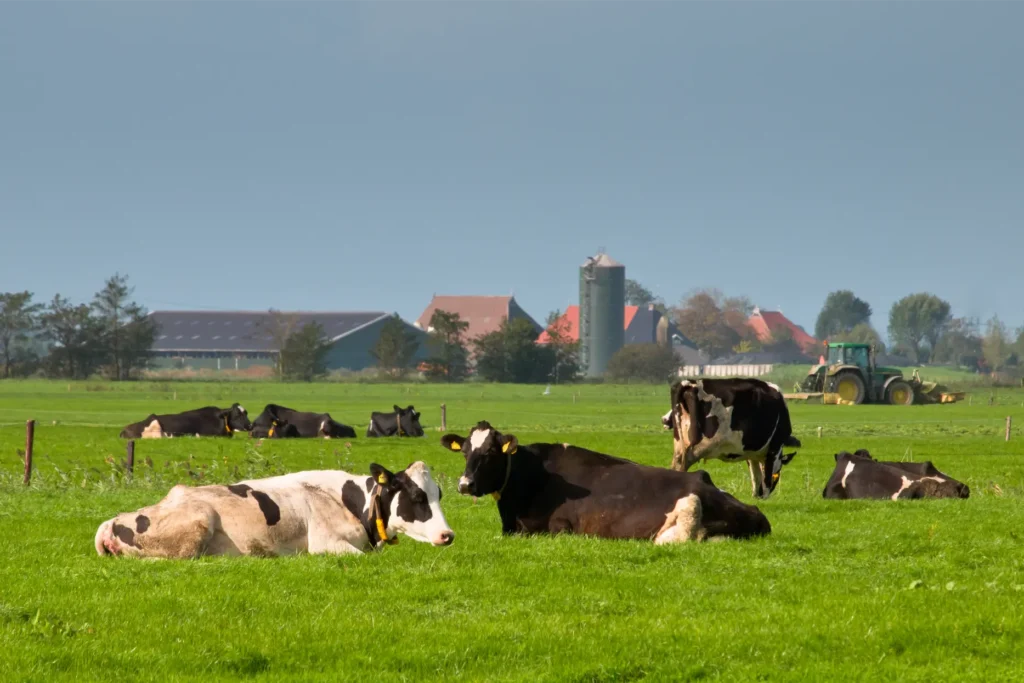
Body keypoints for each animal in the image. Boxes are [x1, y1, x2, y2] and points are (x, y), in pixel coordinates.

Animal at [96, 458, 456, 561]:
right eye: (417, 496)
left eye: (438, 494)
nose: (447, 534)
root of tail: (111, 522)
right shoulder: (325, 544)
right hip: (198, 523)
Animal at [659, 376, 802, 499]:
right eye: (777, 475)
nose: (665, 420)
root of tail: (689, 383)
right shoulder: (775, 447)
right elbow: (766, 475)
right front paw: (765, 496)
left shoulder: (751, 453)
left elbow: (755, 474)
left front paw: (756, 496)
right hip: (698, 446)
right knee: (683, 464)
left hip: (679, 445)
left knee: (675, 465)